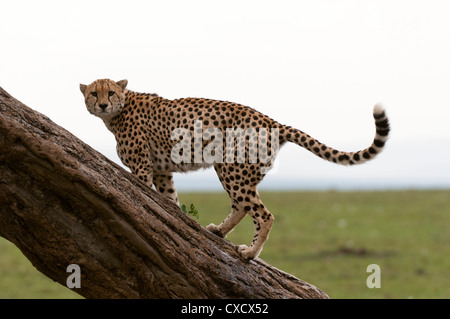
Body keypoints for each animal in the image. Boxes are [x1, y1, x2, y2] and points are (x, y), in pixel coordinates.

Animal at [81, 79, 390, 262]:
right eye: (94, 93)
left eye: (110, 92)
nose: (103, 103)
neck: (118, 112)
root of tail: (272, 121)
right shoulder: (160, 171)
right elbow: (168, 199)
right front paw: (171, 221)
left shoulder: (143, 168)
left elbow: (142, 196)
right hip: (236, 169)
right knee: (242, 205)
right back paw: (220, 231)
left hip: (231, 167)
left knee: (262, 214)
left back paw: (250, 252)